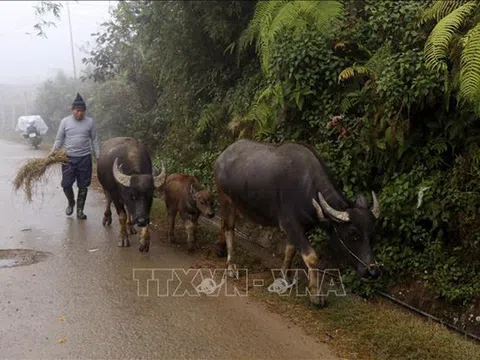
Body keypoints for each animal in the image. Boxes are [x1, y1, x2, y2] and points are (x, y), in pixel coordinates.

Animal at [216, 139, 380, 306]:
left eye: (372, 234)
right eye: (353, 234)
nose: (372, 272)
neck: (307, 187)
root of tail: (223, 156)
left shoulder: (302, 227)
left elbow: (290, 250)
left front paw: (285, 277)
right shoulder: (290, 224)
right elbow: (311, 257)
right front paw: (316, 294)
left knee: (223, 223)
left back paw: (220, 248)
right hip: (226, 199)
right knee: (229, 228)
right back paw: (230, 266)